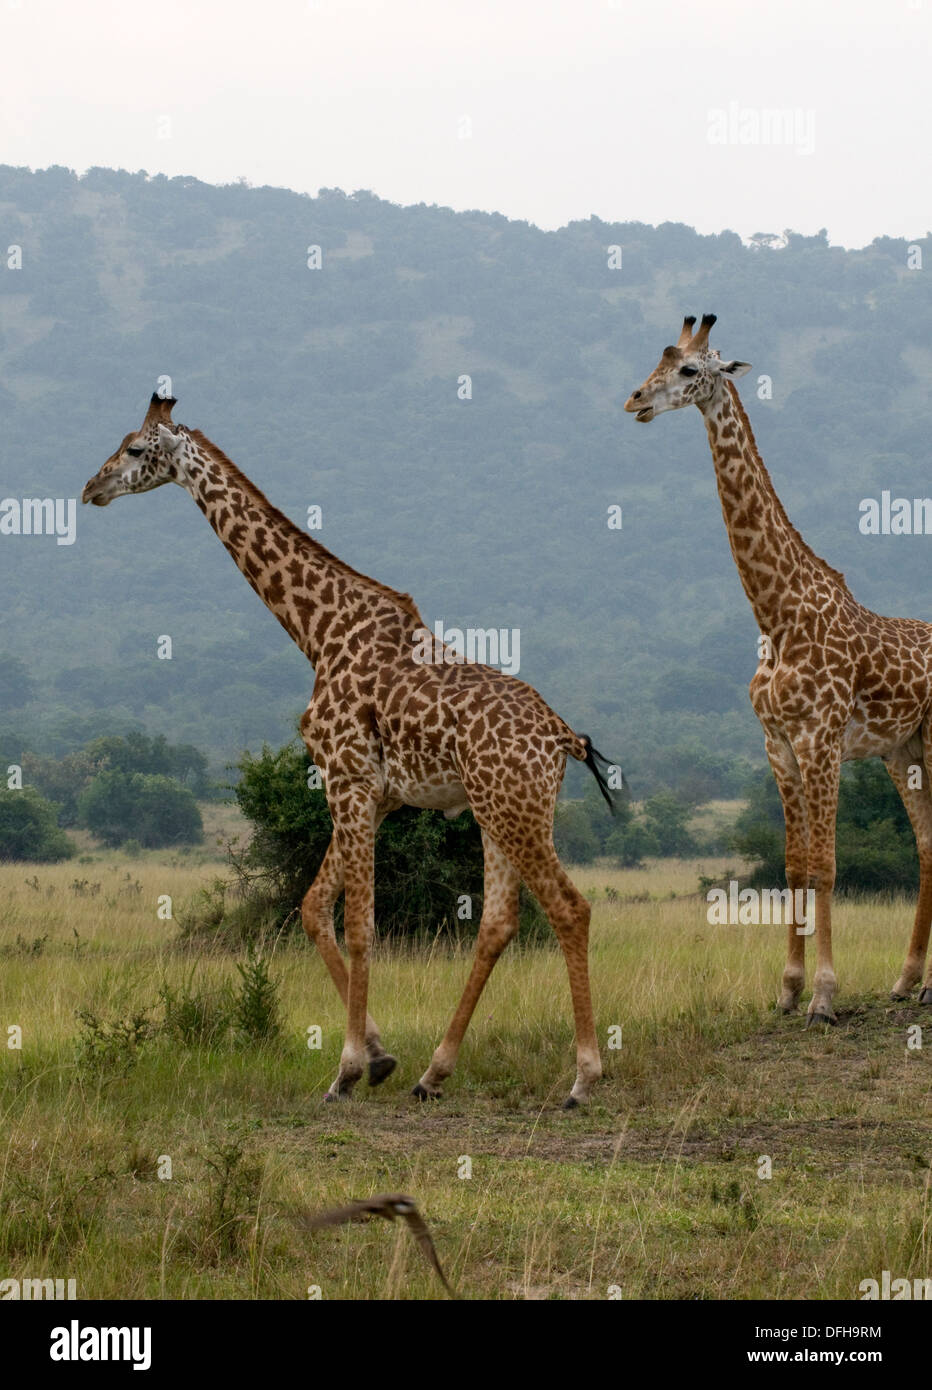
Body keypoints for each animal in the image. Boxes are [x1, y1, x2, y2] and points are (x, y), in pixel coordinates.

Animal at [81, 394, 619, 1106]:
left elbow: (360, 924)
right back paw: (433, 1072)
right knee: (498, 922)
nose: (90, 488)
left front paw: (345, 1069)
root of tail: (562, 736)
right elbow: (314, 909)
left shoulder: (347, 780)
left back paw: (583, 1077)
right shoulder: (374, 794)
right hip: (497, 811)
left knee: (569, 908)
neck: (319, 631)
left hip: (516, 809)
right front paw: (380, 1054)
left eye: (137, 450)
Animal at [622, 319, 932, 1028]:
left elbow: (825, 864)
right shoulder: (778, 745)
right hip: (901, 751)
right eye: (658, 359)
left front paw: (824, 995)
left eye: (690, 370)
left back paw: (918, 984)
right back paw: (909, 982)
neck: (776, 612)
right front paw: (787, 989)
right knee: (930, 844)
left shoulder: (821, 740)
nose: (635, 401)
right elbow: (792, 866)